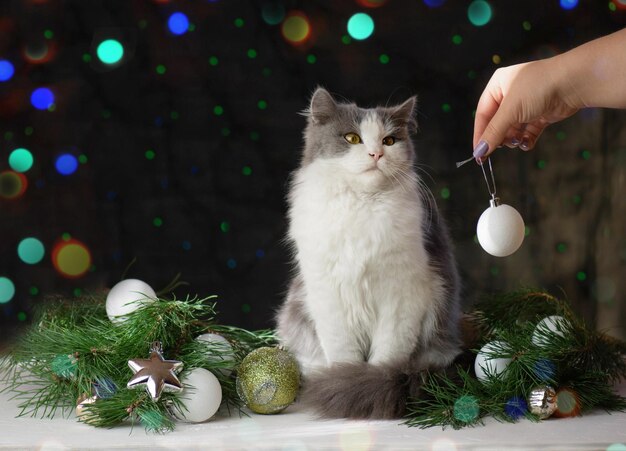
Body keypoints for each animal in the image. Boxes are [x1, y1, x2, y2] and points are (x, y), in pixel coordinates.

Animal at [276, 88, 460, 420]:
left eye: (389, 140)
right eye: (352, 138)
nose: (376, 154)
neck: (362, 204)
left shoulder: (403, 295)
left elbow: (387, 355)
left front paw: (366, 386)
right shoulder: (328, 295)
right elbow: (343, 353)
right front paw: (344, 382)